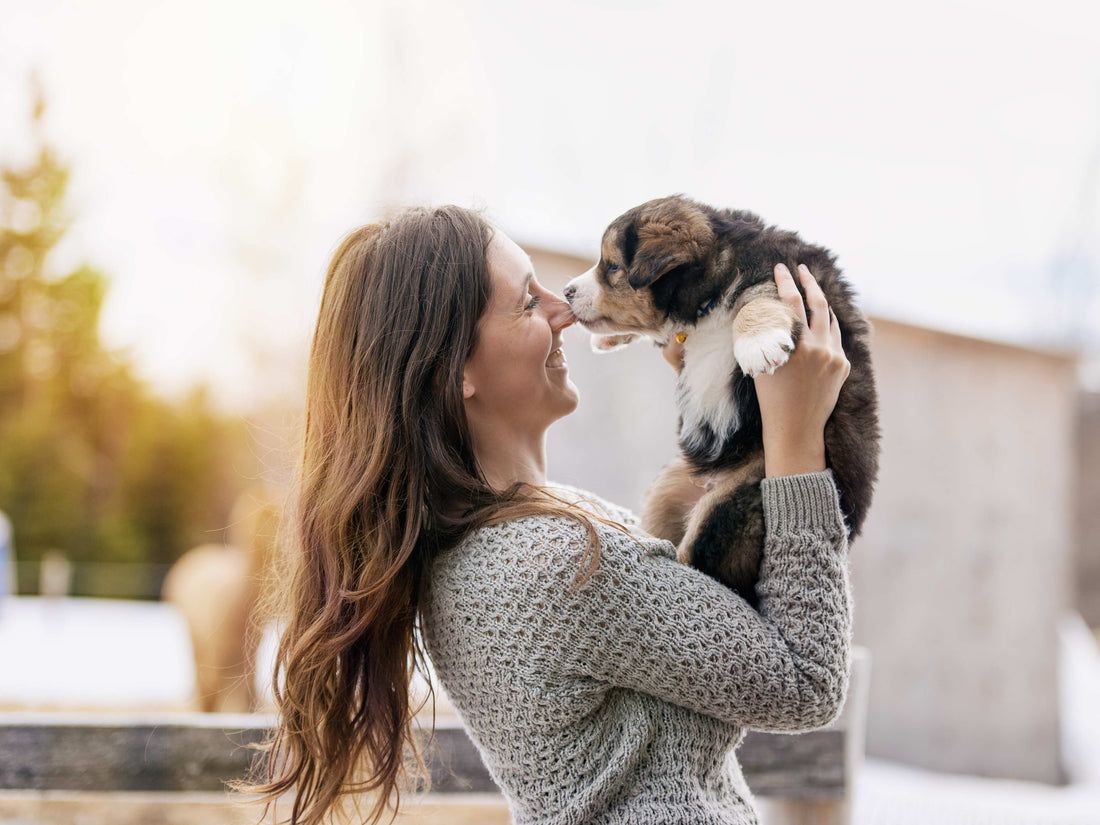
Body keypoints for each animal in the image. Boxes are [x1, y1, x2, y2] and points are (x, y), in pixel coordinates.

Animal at [567, 193, 875, 607]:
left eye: (612, 266)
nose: (566, 291)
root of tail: (709, 483)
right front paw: (608, 338)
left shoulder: (790, 280)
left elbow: (757, 298)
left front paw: (759, 343)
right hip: (669, 486)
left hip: (739, 497)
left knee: (706, 566)